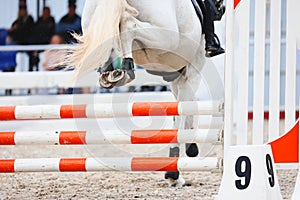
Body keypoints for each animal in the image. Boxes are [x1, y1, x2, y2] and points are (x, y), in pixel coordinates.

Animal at [66, 0, 206, 188]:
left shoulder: (177, 73)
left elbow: (180, 107)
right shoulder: (193, 66)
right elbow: (184, 107)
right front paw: (177, 167)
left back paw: (112, 72)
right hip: (167, 37)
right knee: (128, 23)